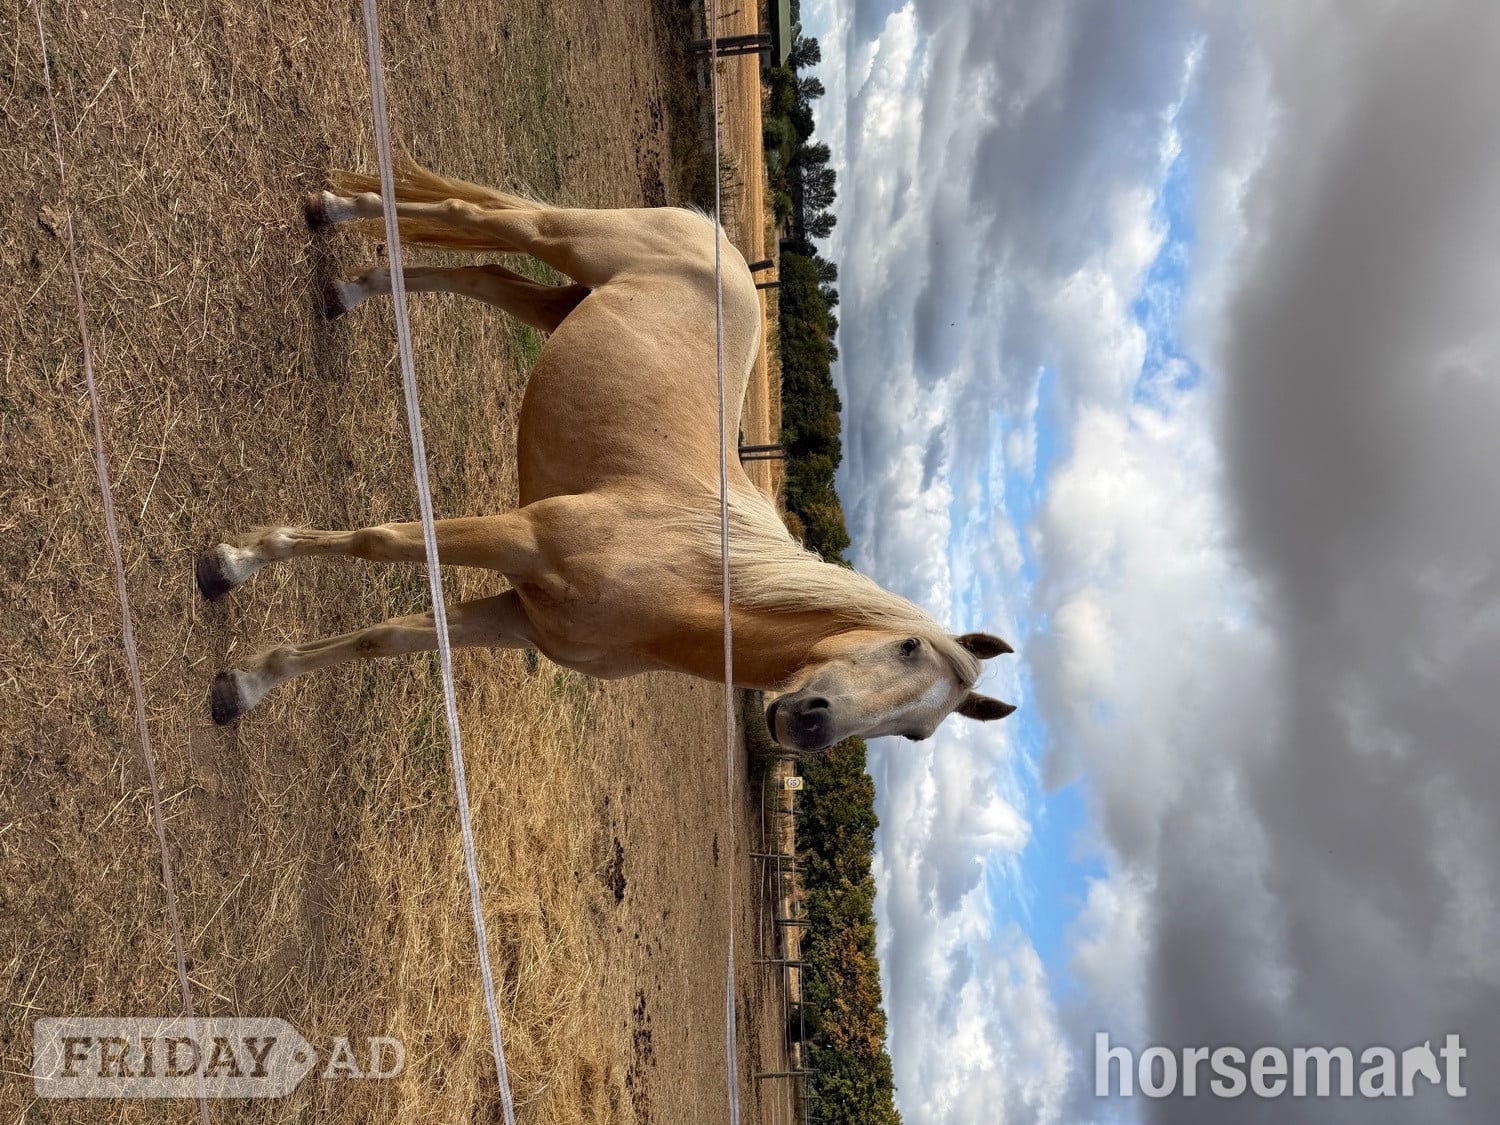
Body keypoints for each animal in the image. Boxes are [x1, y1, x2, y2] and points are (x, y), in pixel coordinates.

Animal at [197, 161, 1016, 751]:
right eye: (906, 648)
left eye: (916, 731)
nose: (810, 723)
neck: (679, 579)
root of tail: (716, 239)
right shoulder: (519, 536)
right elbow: (380, 541)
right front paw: (232, 562)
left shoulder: (515, 618)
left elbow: (384, 638)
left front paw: (247, 684)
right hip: (562, 238)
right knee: (478, 220)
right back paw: (331, 208)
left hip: (558, 303)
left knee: (480, 273)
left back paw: (350, 288)